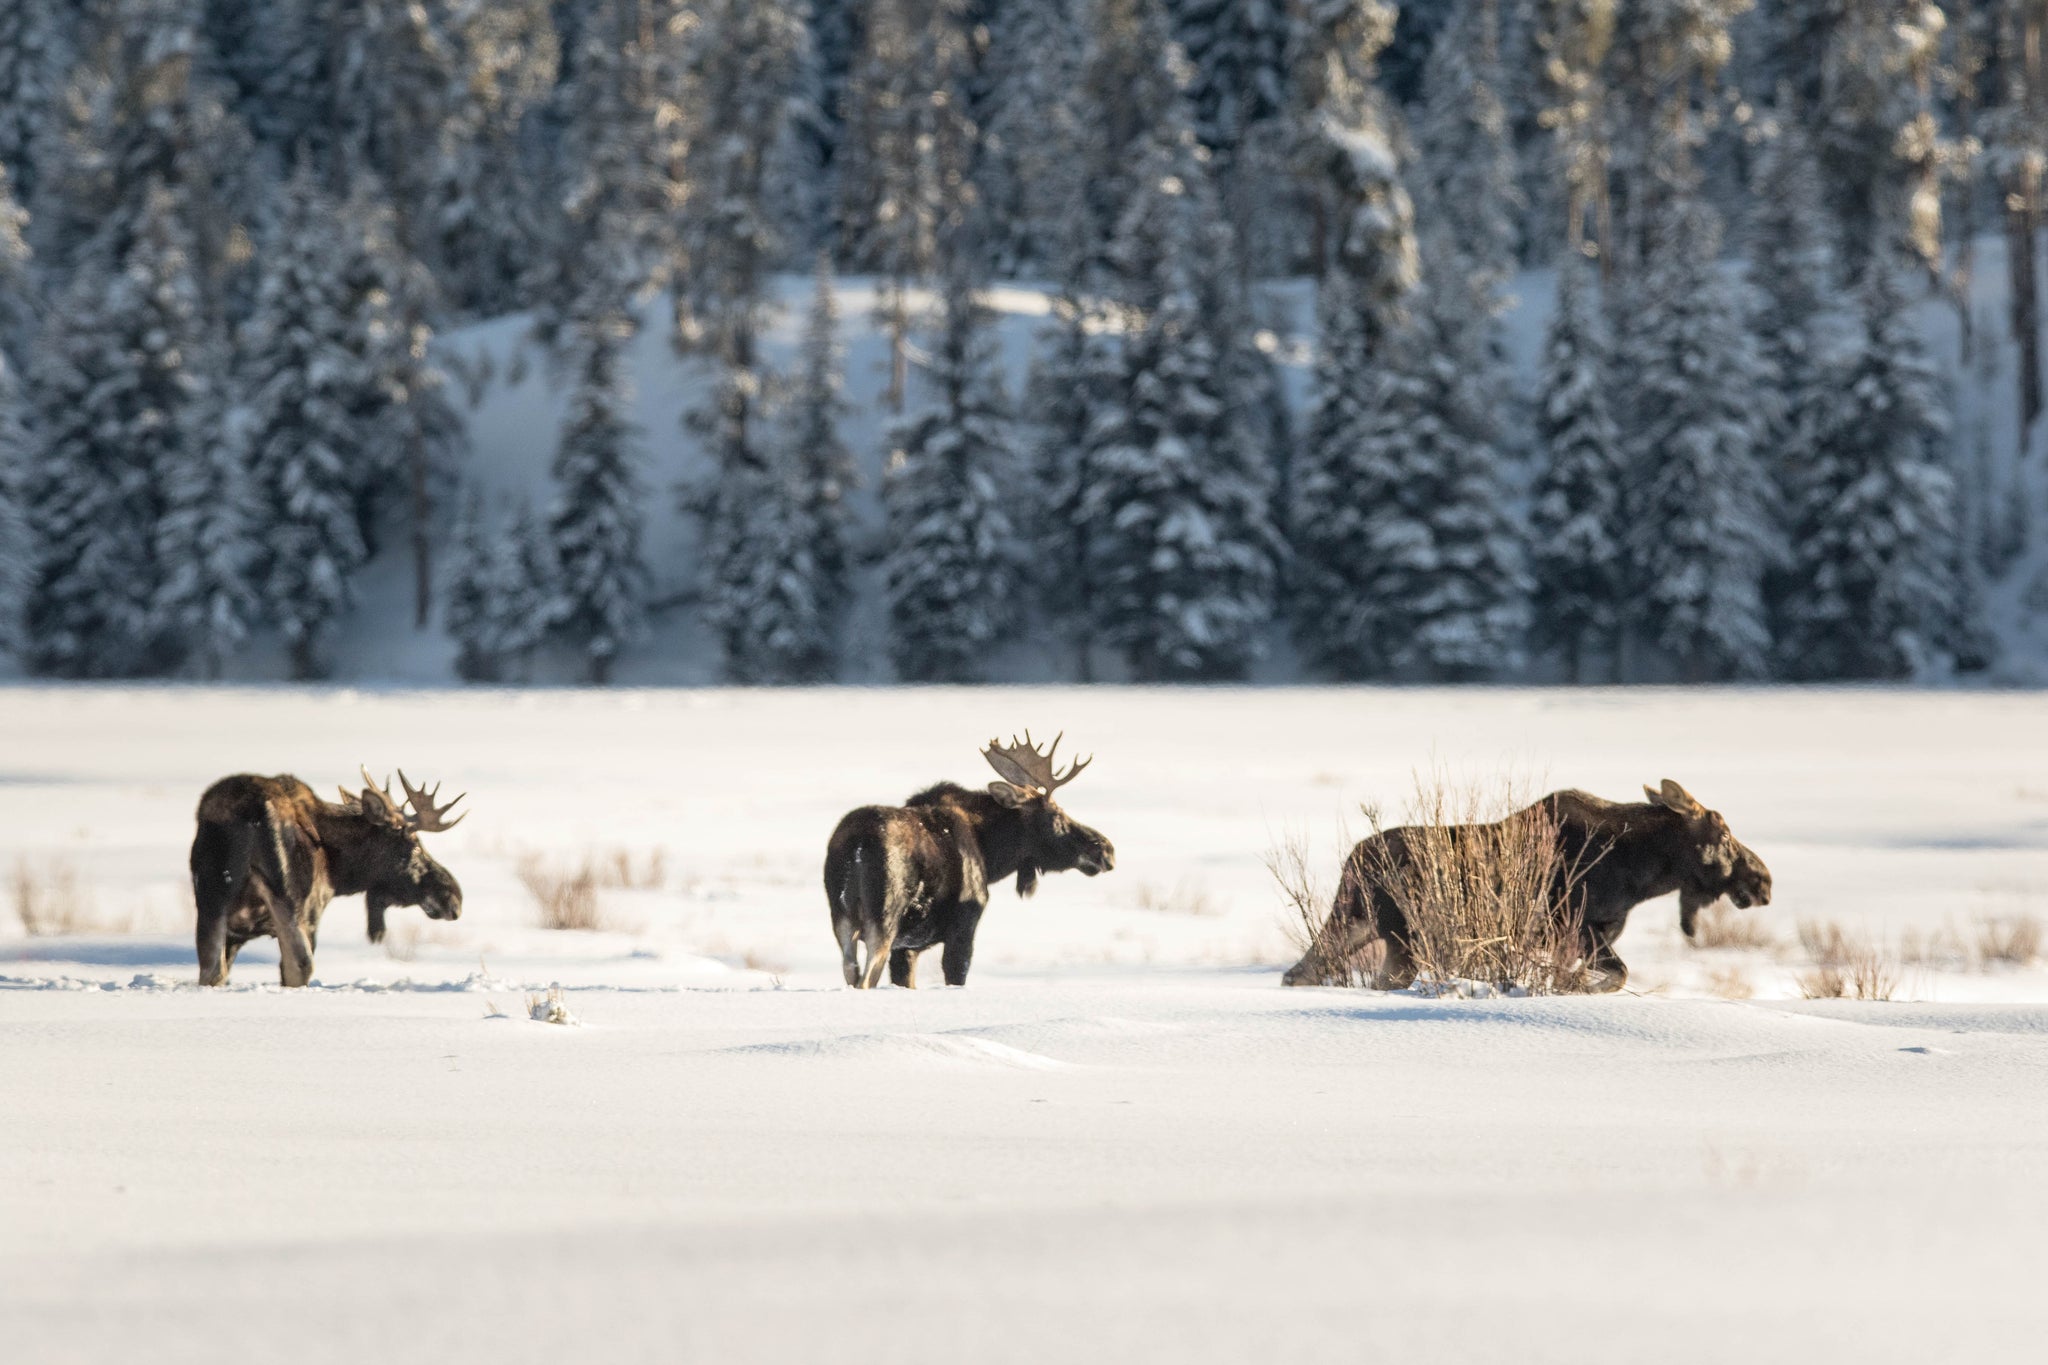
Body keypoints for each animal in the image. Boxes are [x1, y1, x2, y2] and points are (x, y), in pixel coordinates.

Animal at [190, 769, 466, 982]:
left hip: (212, 897)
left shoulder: (236, 934)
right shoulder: (313, 913)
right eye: (415, 845)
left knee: (211, 969)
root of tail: (256, 810)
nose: (454, 898)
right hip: (288, 900)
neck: (339, 871)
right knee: (300, 965)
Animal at [819, 732, 1122, 986]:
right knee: (866, 978)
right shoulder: (964, 923)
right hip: (882, 919)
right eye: (1057, 815)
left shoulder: (907, 948)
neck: (991, 854)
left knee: (851, 971)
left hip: (842, 919)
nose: (1106, 849)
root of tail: (857, 845)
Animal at [1277, 777, 1777, 994]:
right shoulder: (1574, 925)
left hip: (1358, 923)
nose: (1764, 880)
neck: (1645, 871)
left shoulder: (1586, 934)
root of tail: (1351, 863)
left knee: (1303, 969)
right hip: (1402, 937)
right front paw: (1572, 988)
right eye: (1724, 835)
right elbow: (1614, 976)